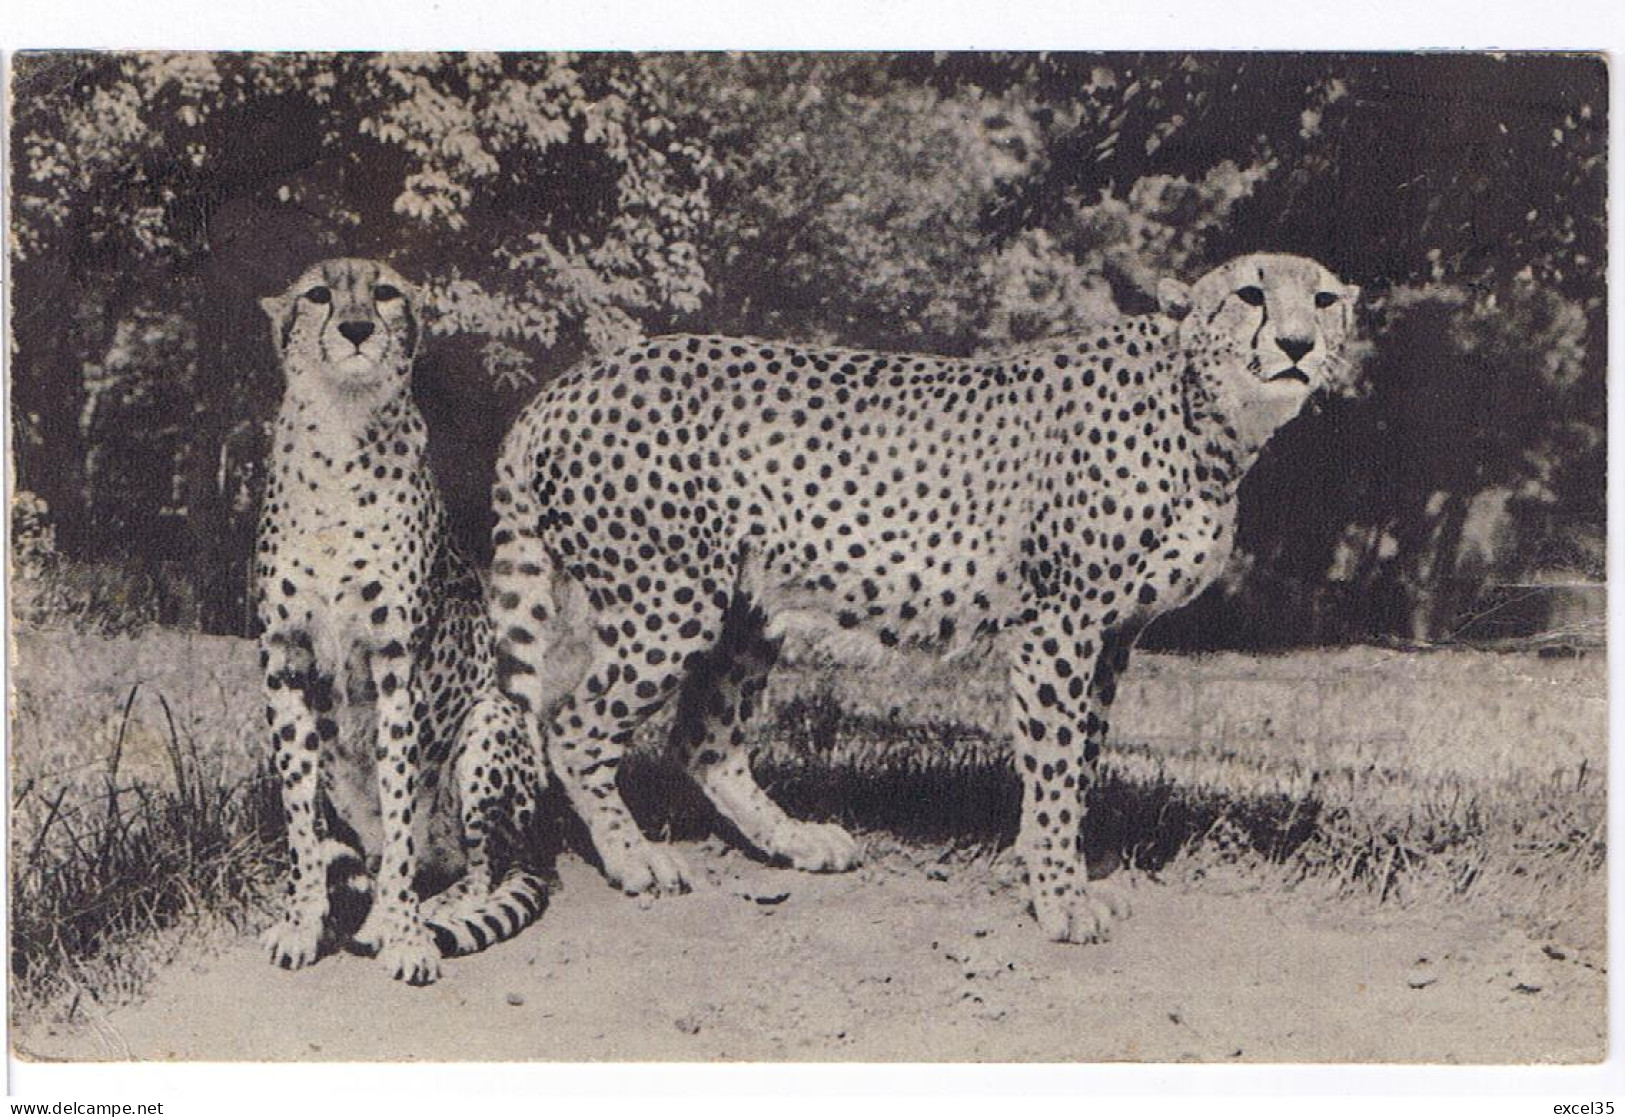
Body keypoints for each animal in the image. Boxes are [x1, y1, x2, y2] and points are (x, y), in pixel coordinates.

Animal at [256, 258, 552, 982]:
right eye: (319, 295)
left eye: (385, 292)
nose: (358, 329)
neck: (341, 432)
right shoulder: (284, 661)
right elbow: (302, 820)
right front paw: (303, 922)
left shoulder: (398, 663)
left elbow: (399, 808)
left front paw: (406, 933)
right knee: (363, 849)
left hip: (492, 724)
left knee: (478, 867)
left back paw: (427, 910)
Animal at [490, 255, 1358, 943]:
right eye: (1249, 293)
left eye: (1322, 298)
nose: (1296, 344)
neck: (1207, 419)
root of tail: (569, 382)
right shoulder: (1058, 623)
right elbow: (1052, 762)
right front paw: (1059, 894)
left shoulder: (1114, 633)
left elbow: (1078, 759)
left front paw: (1055, 863)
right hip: (668, 600)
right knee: (572, 723)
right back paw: (634, 857)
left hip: (745, 608)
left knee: (703, 738)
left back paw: (795, 841)